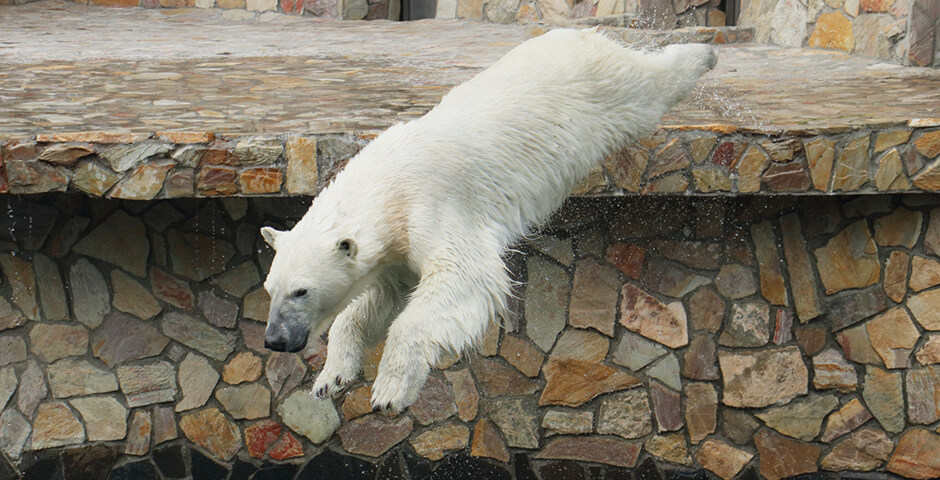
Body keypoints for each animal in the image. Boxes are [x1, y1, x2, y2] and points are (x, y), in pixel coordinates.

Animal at [260, 28, 716, 410]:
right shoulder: (395, 247)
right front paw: (330, 378)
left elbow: (463, 278)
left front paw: (390, 392)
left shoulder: (432, 206)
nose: (275, 340)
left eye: (301, 291)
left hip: (602, 92)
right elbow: (379, 298)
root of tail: (575, 33)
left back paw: (704, 52)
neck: (386, 184)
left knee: (650, 86)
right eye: (270, 289)